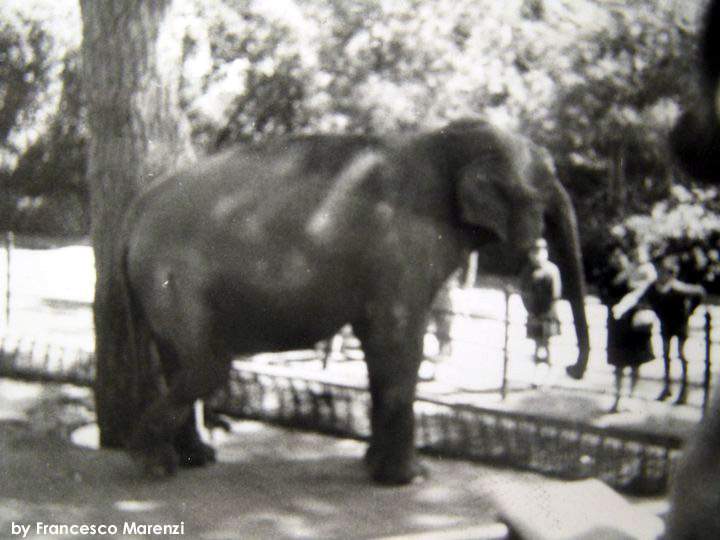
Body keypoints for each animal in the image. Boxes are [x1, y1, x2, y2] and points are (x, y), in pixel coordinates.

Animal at [118, 117, 588, 486]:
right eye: (547, 182)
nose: (572, 368)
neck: (443, 139)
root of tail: (136, 210)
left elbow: (381, 349)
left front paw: (374, 467)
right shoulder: (400, 255)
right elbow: (399, 344)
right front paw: (410, 478)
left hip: (160, 288)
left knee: (180, 363)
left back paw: (194, 459)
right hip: (175, 280)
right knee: (208, 366)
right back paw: (150, 461)